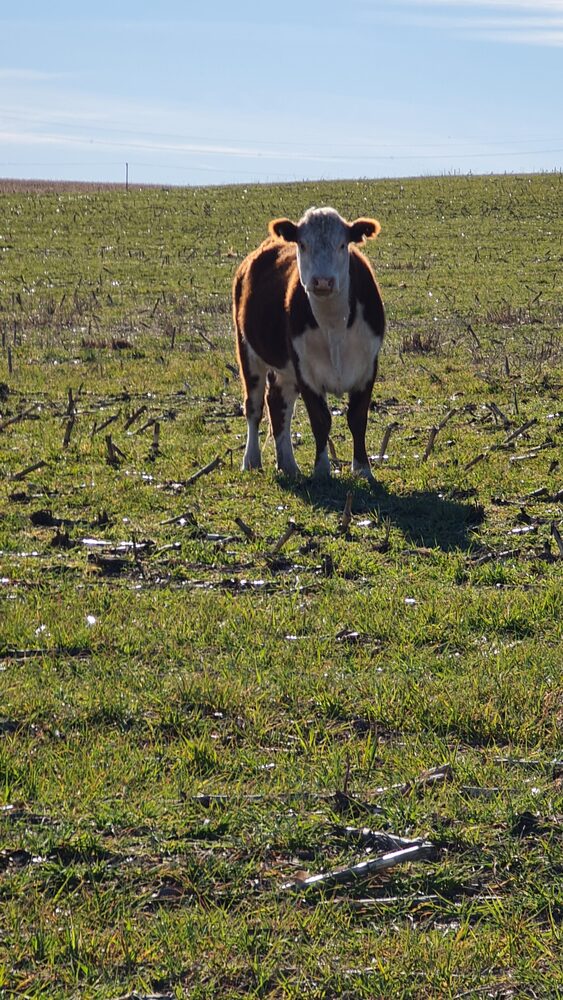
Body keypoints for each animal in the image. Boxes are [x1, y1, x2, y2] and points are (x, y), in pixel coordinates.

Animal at [233, 206, 385, 481]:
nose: (322, 282)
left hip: (286, 370)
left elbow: (357, 419)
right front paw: (322, 469)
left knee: (278, 405)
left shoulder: (368, 368)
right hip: (248, 352)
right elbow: (320, 420)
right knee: (254, 407)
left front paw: (363, 469)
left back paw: (288, 465)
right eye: (302, 244)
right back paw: (251, 460)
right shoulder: (306, 371)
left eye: (342, 244)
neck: (334, 325)